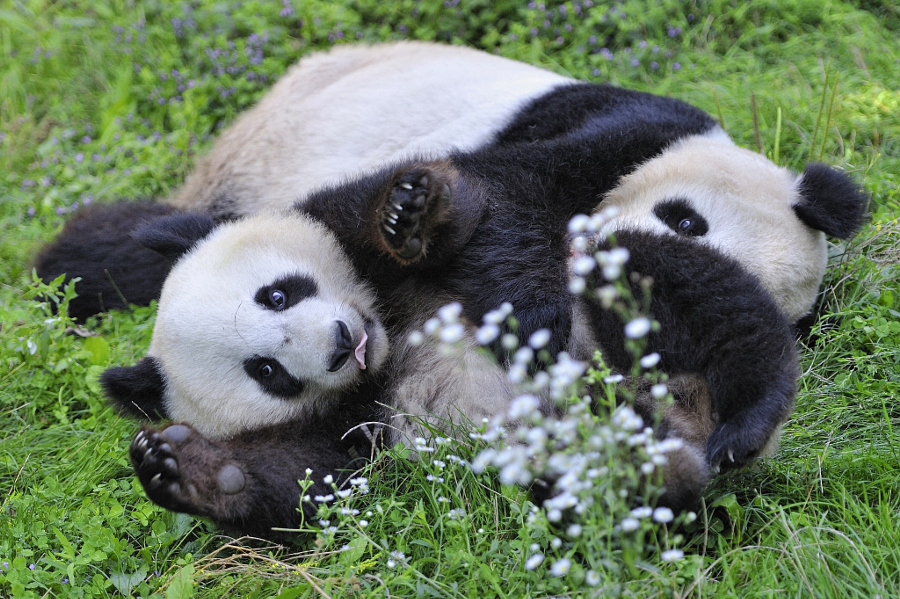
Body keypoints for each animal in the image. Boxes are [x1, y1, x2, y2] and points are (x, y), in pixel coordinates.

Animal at [37, 41, 872, 328]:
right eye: (687, 222)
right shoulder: (625, 126)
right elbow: (505, 192)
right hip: (256, 163)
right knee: (131, 252)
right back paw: (67, 270)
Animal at [107, 148, 800, 536]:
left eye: (276, 295)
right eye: (268, 372)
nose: (340, 345)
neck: (389, 330)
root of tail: (680, 413)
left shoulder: (351, 225)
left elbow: (481, 217)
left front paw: (410, 217)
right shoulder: (351, 418)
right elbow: (310, 479)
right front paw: (184, 468)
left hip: (617, 310)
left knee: (696, 297)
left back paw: (746, 419)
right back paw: (641, 474)